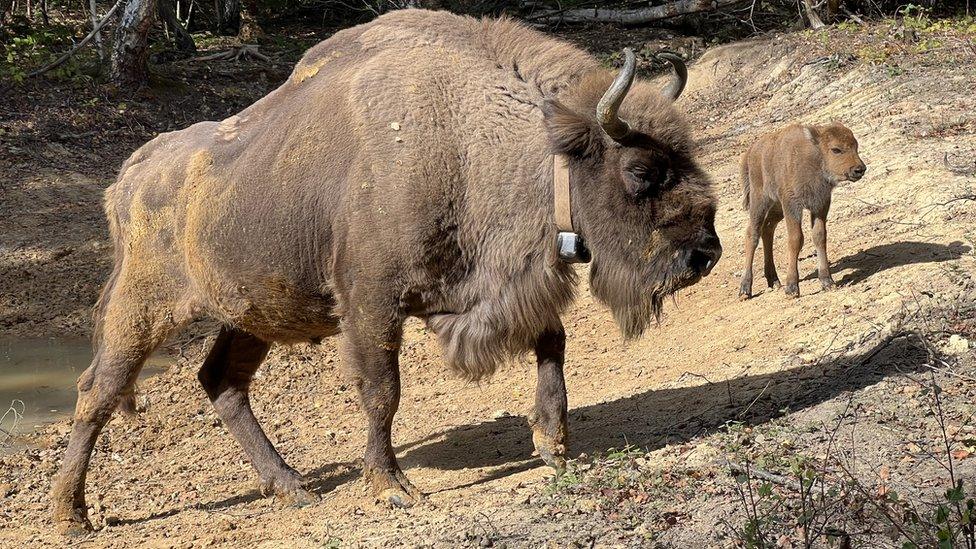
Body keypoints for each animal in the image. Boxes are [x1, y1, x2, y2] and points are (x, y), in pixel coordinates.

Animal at [55, 7, 724, 532]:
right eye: (642, 171)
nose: (705, 254)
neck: (472, 140)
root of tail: (129, 176)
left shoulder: (495, 289)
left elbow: (552, 343)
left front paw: (553, 447)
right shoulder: (373, 305)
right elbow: (383, 392)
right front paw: (393, 486)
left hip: (251, 313)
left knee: (221, 381)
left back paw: (294, 489)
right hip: (143, 310)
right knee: (97, 390)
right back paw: (72, 516)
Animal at [736, 122, 864, 298]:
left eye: (856, 146)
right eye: (836, 149)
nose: (859, 169)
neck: (815, 157)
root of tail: (750, 152)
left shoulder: (820, 205)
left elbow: (819, 236)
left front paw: (828, 282)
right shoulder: (792, 205)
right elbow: (796, 239)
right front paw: (792, 288)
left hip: (777, 209)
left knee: (767, 230)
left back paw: (774, 281)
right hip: (759, 201)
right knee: (752, 234)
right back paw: (745, 289)